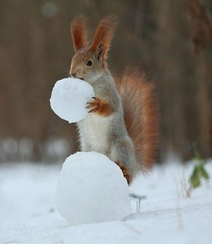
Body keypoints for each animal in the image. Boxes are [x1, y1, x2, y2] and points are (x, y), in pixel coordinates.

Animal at [69, 14, 159, 183]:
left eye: (89, 63)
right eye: (72, 59)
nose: (72, 74)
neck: (92, 82)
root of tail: (135, 163)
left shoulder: (110, 93)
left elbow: (111, 107)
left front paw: (97, 105)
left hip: (120, 145)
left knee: (128, 176)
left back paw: (125, 171)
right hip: (87, 148)